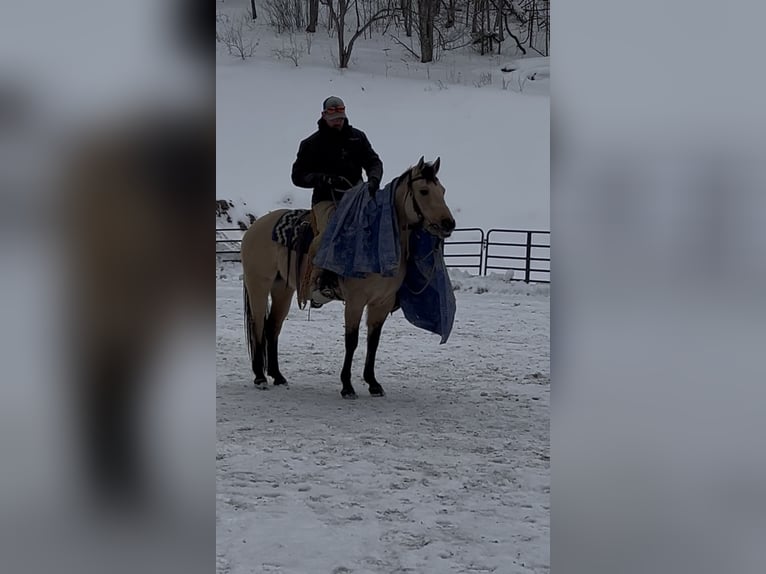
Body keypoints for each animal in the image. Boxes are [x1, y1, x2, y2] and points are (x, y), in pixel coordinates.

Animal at [240, 156, 456, 398]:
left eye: (442, 190)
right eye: (424, 191)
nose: (449, 223)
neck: (375, 246)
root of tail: (255, 227)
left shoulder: (381, 303)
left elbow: (373, 342)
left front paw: (373, 383)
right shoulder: (355, 301)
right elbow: (351, 341)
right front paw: (347, 386)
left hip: (283, 289)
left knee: (272, 326)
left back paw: (277, 376)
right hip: (258, 284)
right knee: (258, 323)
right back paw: (260, 377)